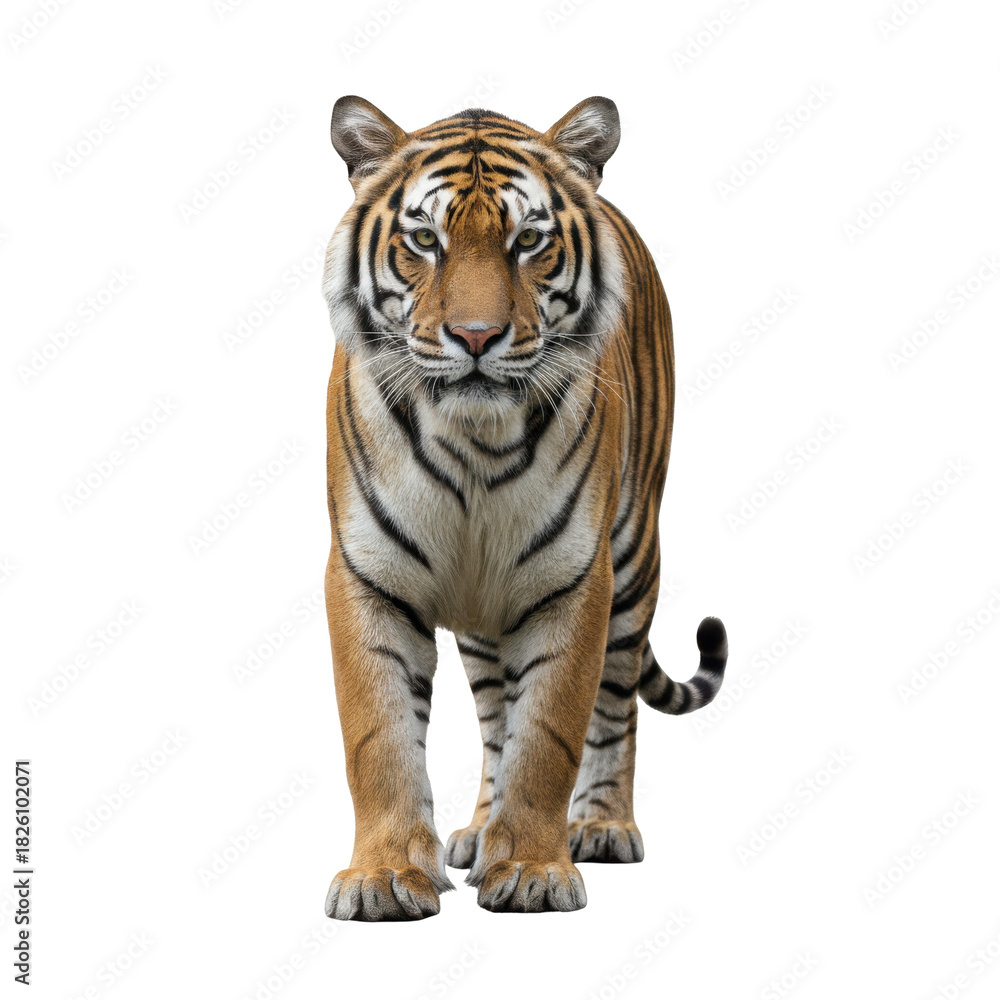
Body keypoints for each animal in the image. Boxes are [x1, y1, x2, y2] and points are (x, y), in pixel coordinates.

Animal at [321, 95, 728, 920]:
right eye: (425, 240)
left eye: (529, 241)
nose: (476, 336)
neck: (472, 441)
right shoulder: (364, 574)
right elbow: (379, 736)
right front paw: (384, 876)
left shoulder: (576, 580)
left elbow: (548, 735)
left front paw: (536, 871)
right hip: (487, 615)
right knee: (492, 718)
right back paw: (480, 829)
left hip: (634, 562)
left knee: (615, 706)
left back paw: (602, 826)